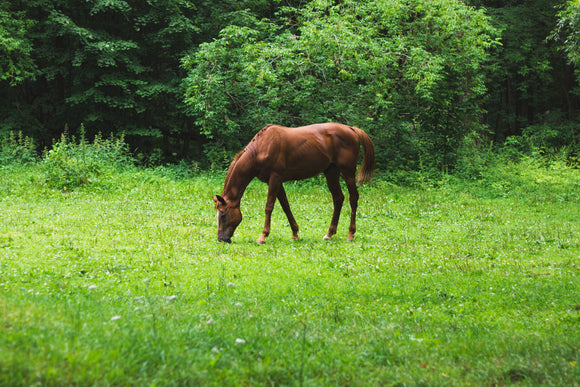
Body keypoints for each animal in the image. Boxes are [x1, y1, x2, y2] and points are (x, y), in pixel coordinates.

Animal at [213, 123, 376, 246]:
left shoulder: (275, 178)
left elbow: (269, 207)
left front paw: (263, 236)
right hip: (331, 172)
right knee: (338, 198)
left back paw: (350, 234)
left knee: (353, 198)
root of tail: (351, 129)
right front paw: (295, 233)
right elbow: (286, 206)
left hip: (348, 173)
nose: (221, 239)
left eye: (223, 214)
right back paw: (329, 234)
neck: (261, 148)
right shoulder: (277, 182)